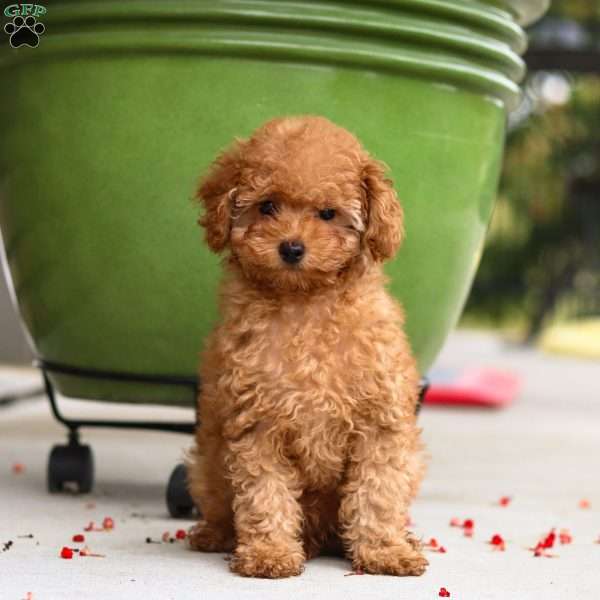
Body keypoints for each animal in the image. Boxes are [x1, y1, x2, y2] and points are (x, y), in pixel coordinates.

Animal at [188, 115, 426, 580]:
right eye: (267, 206)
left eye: (328, 213)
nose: (292, 247)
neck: (306, 305)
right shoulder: (257, 422)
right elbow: (264, 492)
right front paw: (269, 553)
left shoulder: (380, 422)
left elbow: (377, 492)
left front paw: (384, 551)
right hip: (208, 464)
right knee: (221, 504)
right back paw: (215, 534)